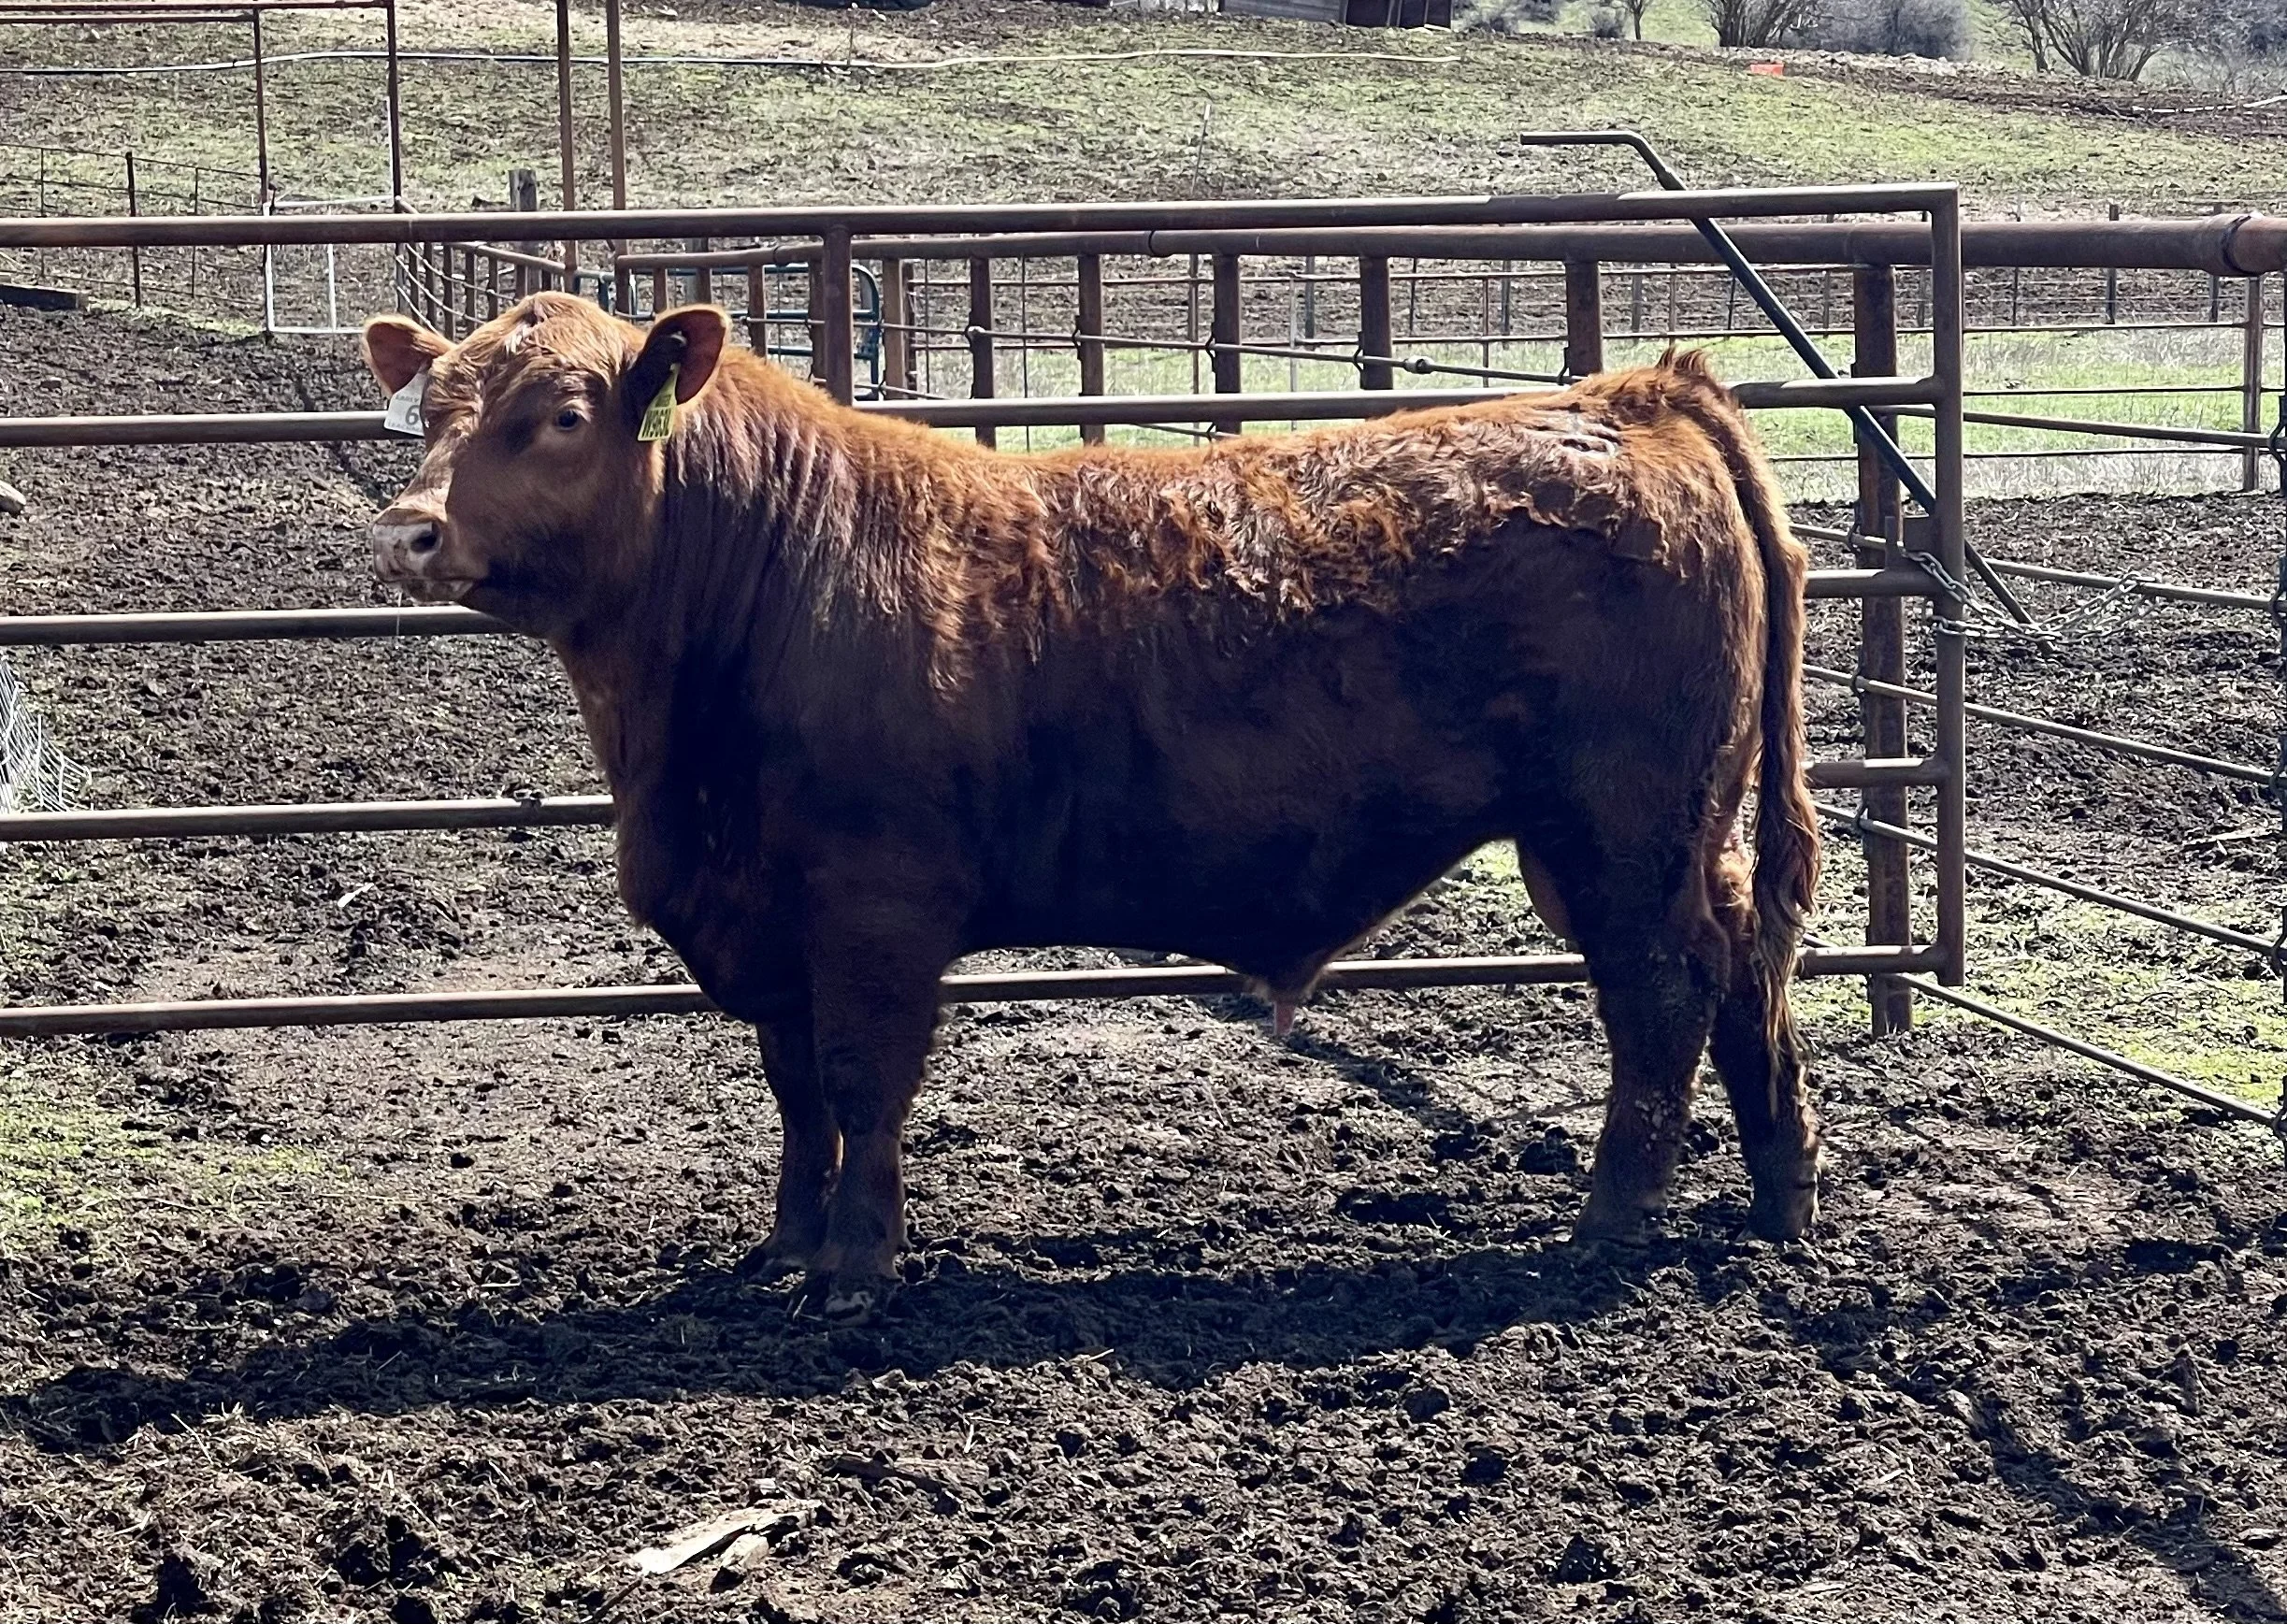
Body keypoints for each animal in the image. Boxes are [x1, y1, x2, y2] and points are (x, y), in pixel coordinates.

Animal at [361, 291, 1821, 1322]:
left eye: (561, 415)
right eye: (428, 411)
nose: (408, 528)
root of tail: (1636, 394)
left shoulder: (875, 909)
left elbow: (861, 1082)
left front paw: (854, 1267)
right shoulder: (773, 920)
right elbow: (792, 1089)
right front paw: (784, 1242)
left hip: (1620, 827)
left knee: (1663, 990)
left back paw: (1612, 1220)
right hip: (1675, 828)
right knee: (1745, 966)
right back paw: (1777, 1192)